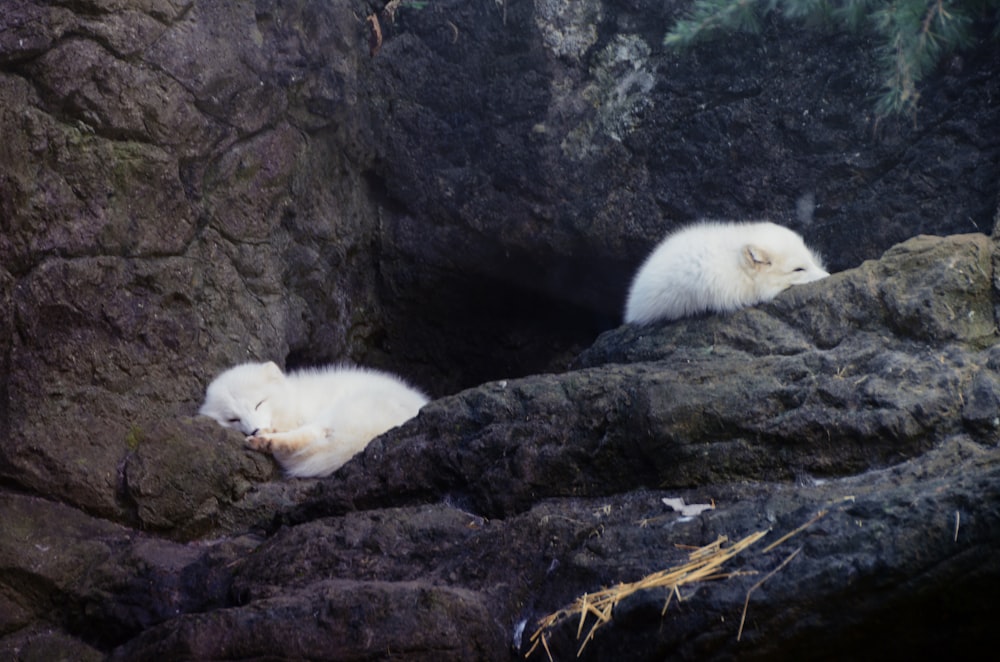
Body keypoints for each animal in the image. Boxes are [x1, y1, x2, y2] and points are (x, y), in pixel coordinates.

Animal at [197, 364, 428, 478]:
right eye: (233, 419)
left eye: (259, 404)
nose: (254, 429)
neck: (294, 401)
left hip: (340, 410)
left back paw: (264, 440)